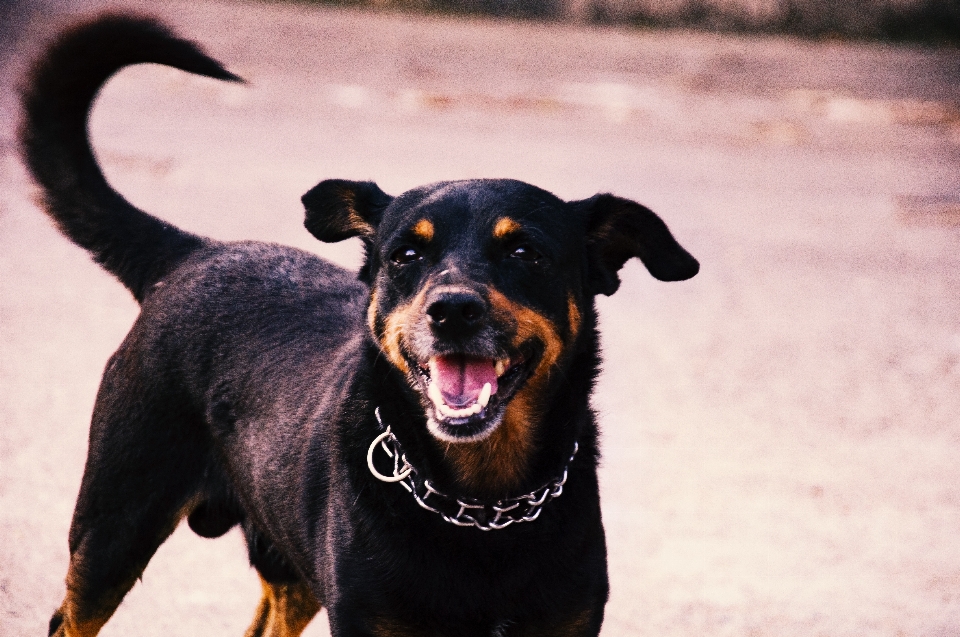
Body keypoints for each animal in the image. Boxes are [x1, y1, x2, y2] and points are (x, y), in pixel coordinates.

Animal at [20, 13, 696, 636]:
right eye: (407, 254)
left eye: (525, 252)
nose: (452, 310)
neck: (480, 504)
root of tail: (194, 252)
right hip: (114, 527)